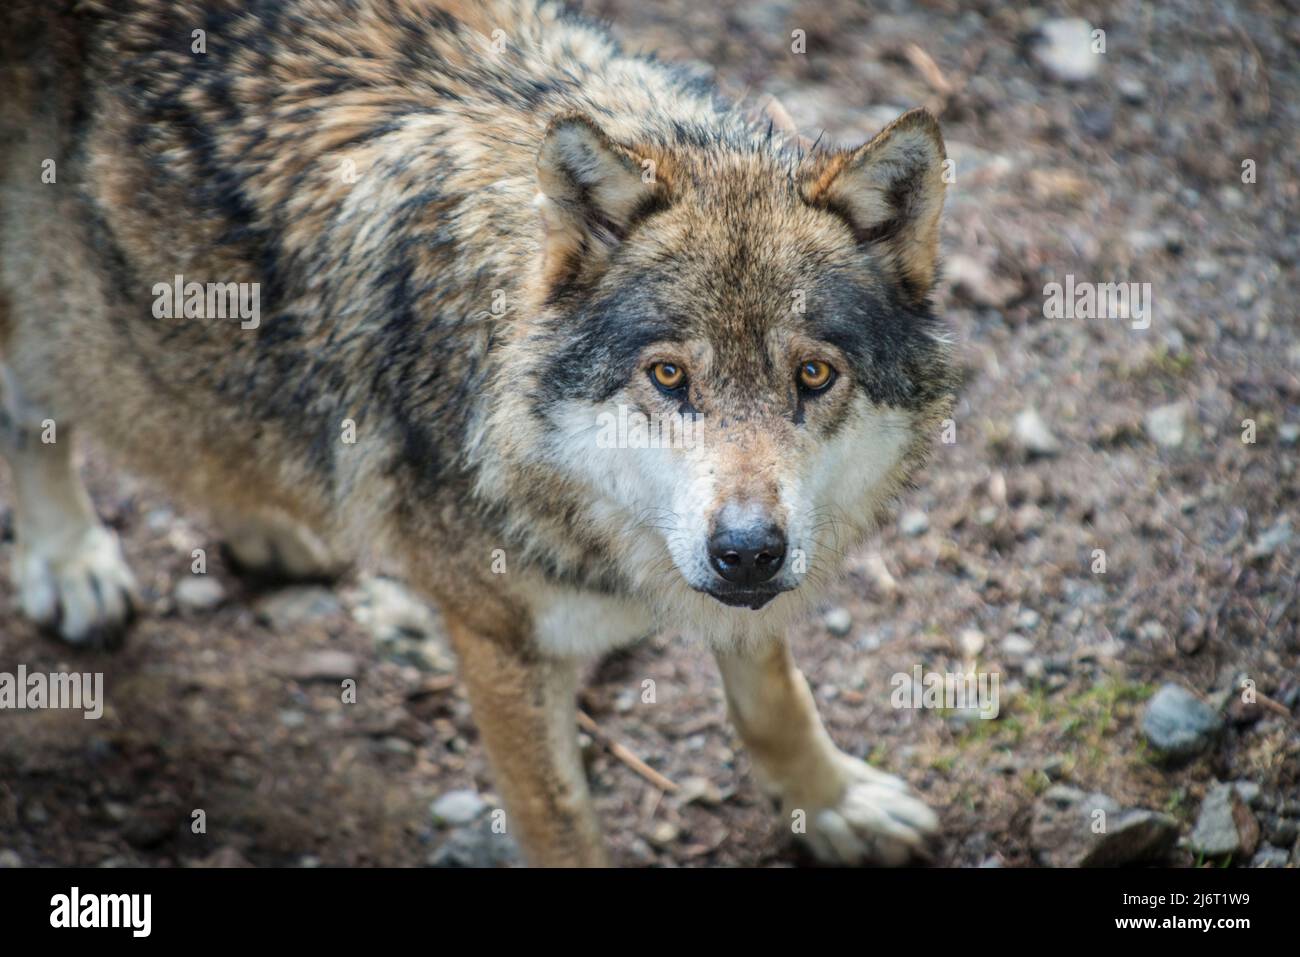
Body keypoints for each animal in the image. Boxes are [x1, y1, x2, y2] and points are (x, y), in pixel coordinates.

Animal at [0, 0, 957, 866]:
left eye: (813, 375)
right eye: (668, 376)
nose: (749, 549)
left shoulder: (749, 591)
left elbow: (775, 696)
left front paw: (833, 803)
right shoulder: (501, 644)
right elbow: (560, 825)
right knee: (31, 407)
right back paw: (72, 560)